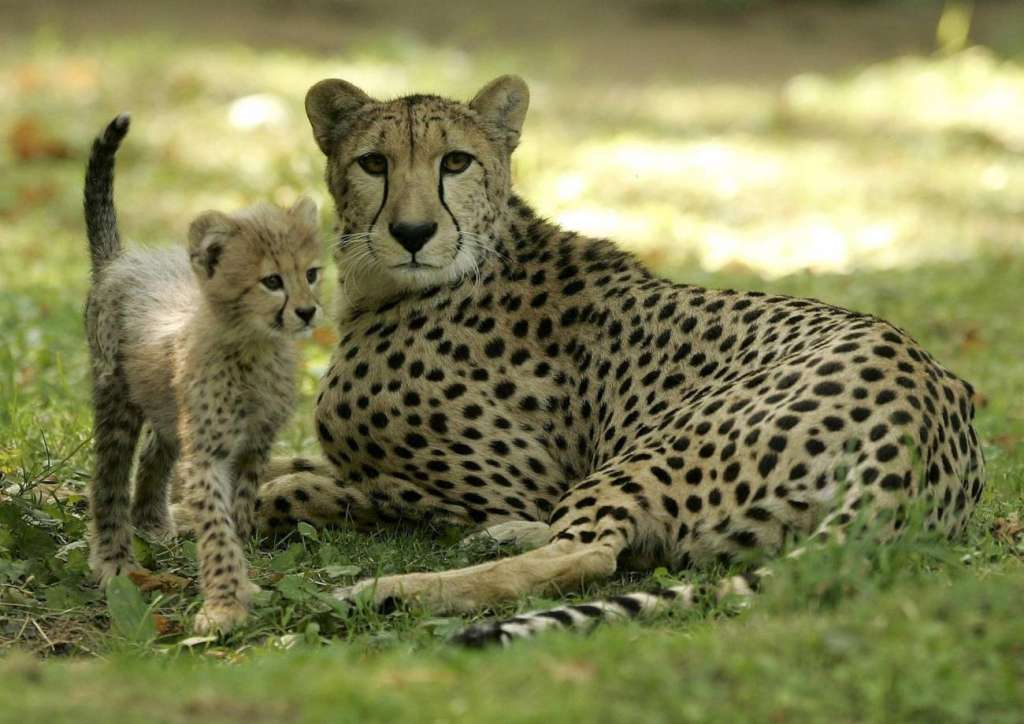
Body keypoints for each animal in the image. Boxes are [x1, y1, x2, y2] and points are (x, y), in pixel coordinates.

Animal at [83, 114, 324, 633]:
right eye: (271, 281)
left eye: (311, 273)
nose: (308, 311)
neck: (254, 349)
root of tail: (123, 259)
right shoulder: (210, 453)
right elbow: (217, 527)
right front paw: (225, 604)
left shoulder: (253, 447)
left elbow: (240, 511)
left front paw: (244, 579)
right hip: (116, 397)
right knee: (109, 479)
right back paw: (115, 559)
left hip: (171, 410)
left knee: (156, 453)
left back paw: (152, 521)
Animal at [253, 75, 984, 646]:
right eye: (373, 163)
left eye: (455, 162)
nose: (412, 232)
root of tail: (921, 412)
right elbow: (284, 465)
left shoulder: (494, 485)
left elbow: (308, 488)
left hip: (659, 445)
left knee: (588, 555)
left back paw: (383, 592)